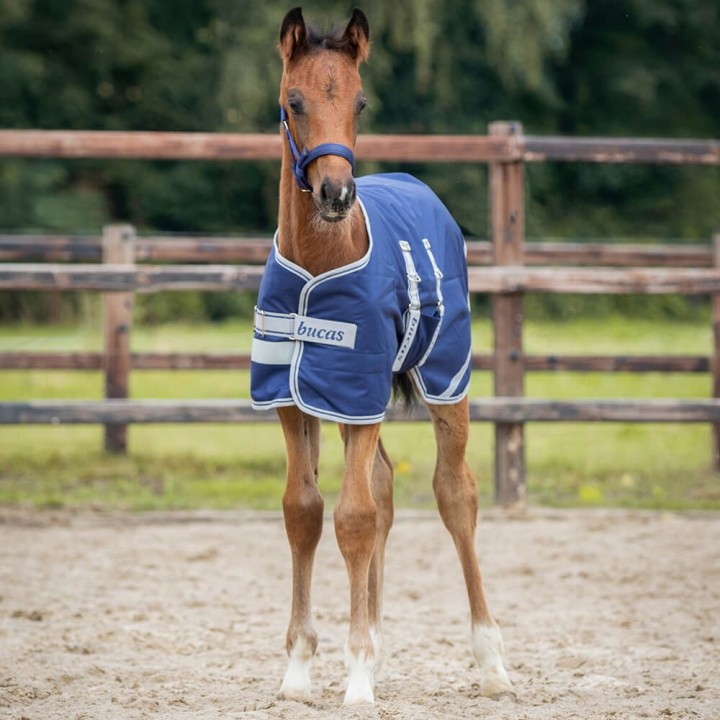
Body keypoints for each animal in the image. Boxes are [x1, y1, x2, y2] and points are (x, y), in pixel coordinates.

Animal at [249, 6, 513, 706]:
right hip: (350, 406)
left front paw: (358, 677)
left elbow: (355, 517)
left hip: (446, 380)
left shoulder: (359, 391)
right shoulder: (298, 398)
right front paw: (301, 669)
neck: (320, 264)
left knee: (455, 494)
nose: (337, 194)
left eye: (360, 102)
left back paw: (492, 662)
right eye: (294, 100)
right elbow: (306, 512)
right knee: (387, 485)